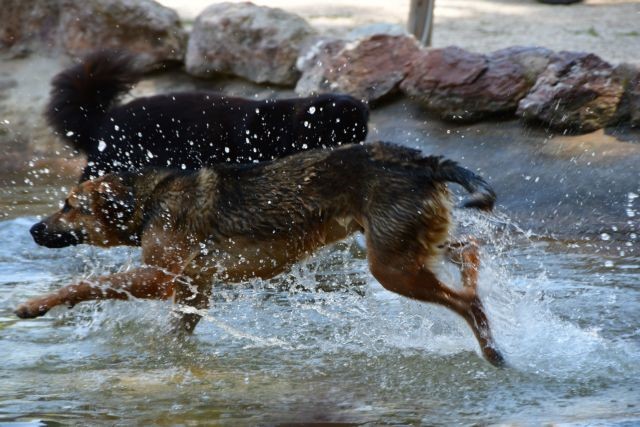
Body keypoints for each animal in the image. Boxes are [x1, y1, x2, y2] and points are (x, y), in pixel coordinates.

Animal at [18, 143, 504, 368]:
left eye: (70, 206)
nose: (33, 229)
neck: (147, 201)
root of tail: (424, 161)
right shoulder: (195, 289)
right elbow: (176, 333)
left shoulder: (161, 276)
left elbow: (85, 284)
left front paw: (34, 305)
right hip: (406, 248)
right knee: (468, 250)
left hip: (390, 266)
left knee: (467, 301)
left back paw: (491, 349)